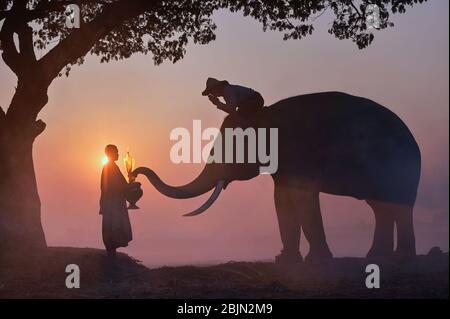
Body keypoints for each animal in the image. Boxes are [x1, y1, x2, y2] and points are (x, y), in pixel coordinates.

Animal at [134, 91, 422, 264]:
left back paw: (401, 260)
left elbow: (305, 198)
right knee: (382, 208)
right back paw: (378, 258)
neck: (265, 113)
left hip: (399, 168)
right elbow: (281, 199)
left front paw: (316, 262)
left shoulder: (301, 154)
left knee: (399, 208)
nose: (136, 171)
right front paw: (285, 260)